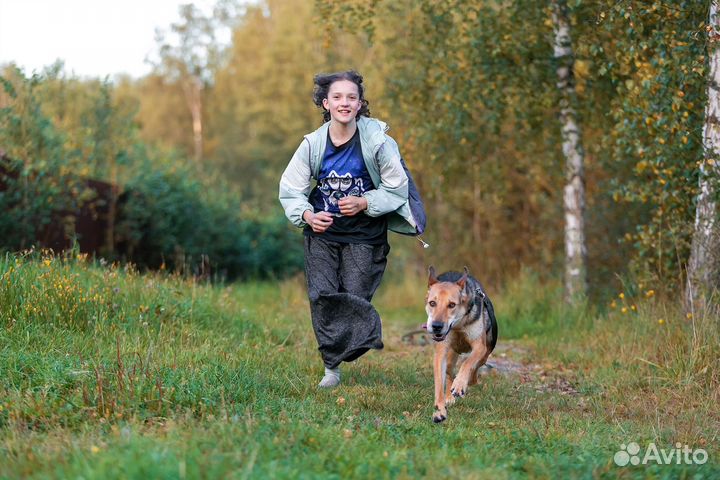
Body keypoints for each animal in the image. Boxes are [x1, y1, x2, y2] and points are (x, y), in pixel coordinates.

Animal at [424, 266, 498, 424]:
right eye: (432, 303)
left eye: (452, 305)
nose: (437, 326)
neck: (458, 326)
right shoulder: (441, 352)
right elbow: (439, 384)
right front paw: (440, 410)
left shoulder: (479, 347)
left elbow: (467, 362)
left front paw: (460, 385)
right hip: (451, 357)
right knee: (449, 372)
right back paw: (449, 396)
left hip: (485, 352)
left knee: (474, 368)